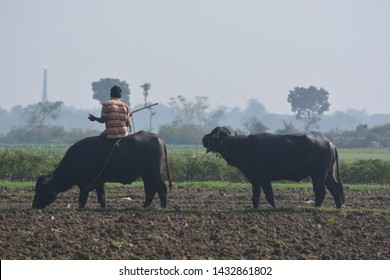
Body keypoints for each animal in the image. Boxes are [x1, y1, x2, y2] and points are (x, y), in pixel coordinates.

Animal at [32, 131, 173, 208]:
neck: (74, 161)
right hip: (146, 175)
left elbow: (82, 200)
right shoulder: (99, 183)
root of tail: (158, 138)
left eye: (41, 189)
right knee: (150, 190)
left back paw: (162, 207)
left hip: (154, 173)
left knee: (161, 188)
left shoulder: (84, 185)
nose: (34, 205)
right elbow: (102, 198)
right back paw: (145, 206)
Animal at [203, 127, 346, 208]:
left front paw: (275, 208)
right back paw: (338, 207)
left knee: (321, 191)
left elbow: (270, 197)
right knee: (335, 189)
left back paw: (316, 207)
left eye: (214, 134)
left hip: (318, 174)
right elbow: (255, 198)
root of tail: (330, 143)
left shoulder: (265, 179)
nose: (204, 138)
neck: (241, 146)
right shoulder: (255, 181)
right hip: (328, 174)